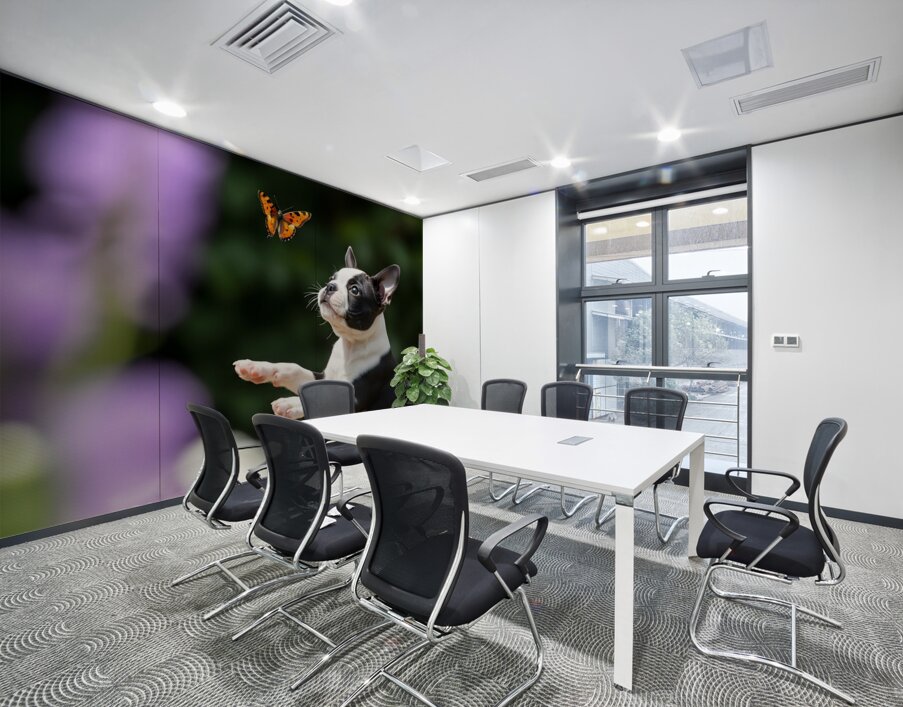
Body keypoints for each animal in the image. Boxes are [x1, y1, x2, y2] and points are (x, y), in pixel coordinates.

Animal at [234, 246, 400, 418]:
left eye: (354, 290)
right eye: (331, 278)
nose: (330, 286)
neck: (350, 346)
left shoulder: (356, 397)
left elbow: (328, 399)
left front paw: (289, 403)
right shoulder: (324, 377)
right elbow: (293, 368)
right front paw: (256, 367)